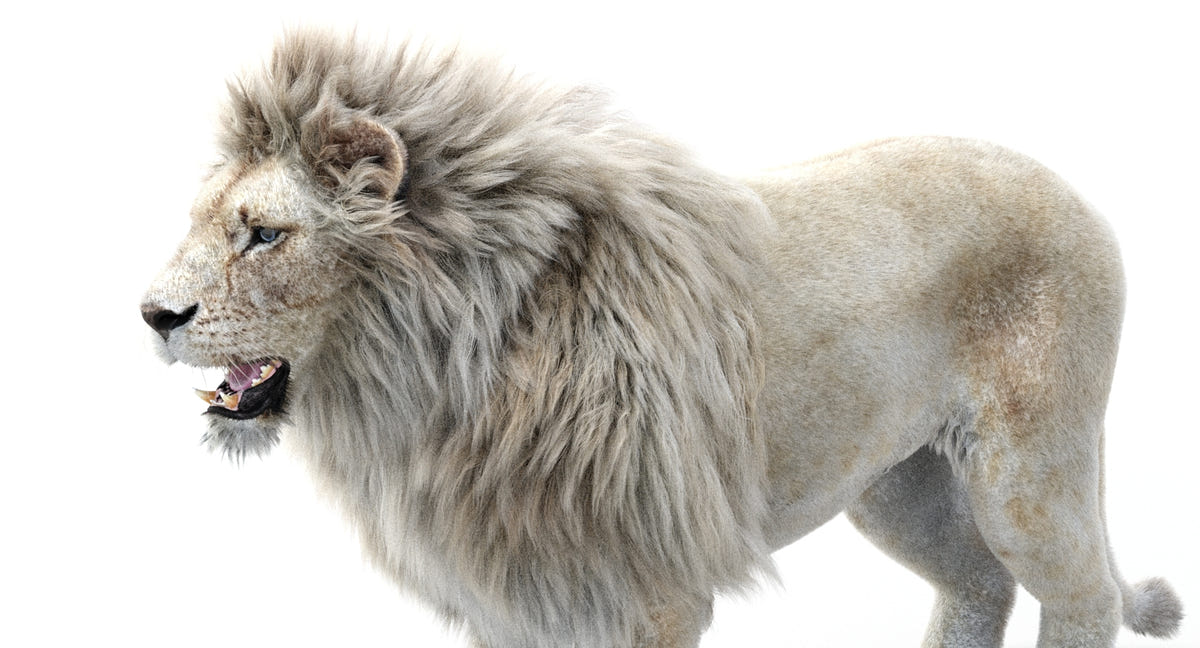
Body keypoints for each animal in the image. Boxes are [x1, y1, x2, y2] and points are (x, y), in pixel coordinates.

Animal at [141, 31, 1182, 647]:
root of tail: (1070, 186)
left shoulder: (652, 592)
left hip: (1027, 469)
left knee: (1081, 595)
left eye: (264, 234)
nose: (152, 315)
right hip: (896, 484)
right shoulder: (515, 596)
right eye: (202, 222)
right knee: (980, 584)